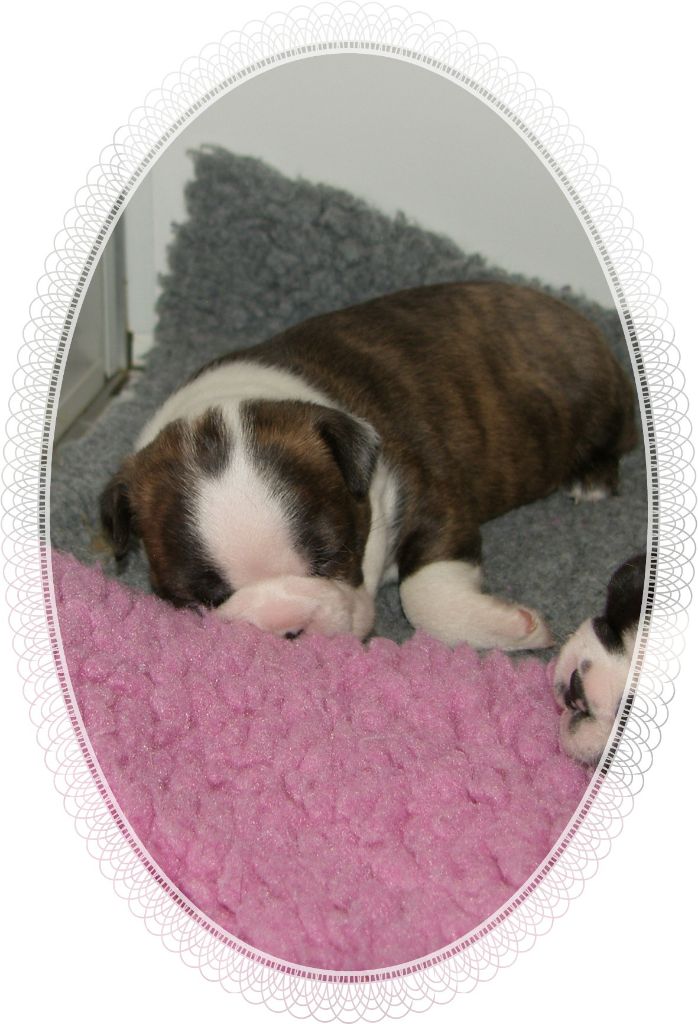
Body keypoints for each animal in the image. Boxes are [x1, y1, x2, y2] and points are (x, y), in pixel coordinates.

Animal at [100, 281, 637, 649]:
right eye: (202, 597)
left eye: (330, 556)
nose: (287, 627)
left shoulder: (430, 496)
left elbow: (425, 595)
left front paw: (510, 627)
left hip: (599, 407)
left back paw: (592, 478)